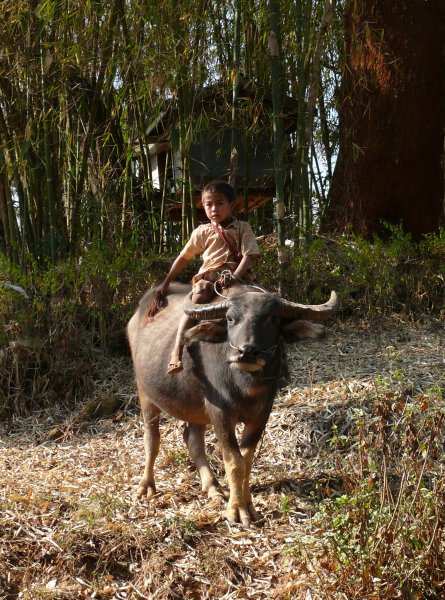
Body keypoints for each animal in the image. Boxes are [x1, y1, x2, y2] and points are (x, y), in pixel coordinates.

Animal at [126, 284, 338, 524]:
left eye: (273, 318)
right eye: (229, 318)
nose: (246, 351)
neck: (244, 384)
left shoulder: (261, 416)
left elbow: (246, 460)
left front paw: (249, 506)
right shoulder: (221, 414)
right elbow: (234, 462)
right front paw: (237, 511)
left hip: (194, 408)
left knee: (193, 440)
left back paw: (212, 487)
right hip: (145, 393)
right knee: (152, 439)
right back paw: (147, 485)